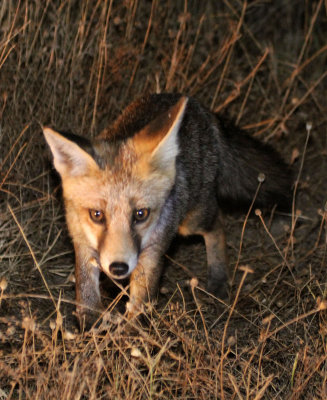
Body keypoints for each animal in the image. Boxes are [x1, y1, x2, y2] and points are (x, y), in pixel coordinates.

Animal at [43, 94, 292, 328]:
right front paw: (90, 326)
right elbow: (86, 292)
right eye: (97, 215)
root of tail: (199, 107)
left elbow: (140, 305)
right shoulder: (82, 243)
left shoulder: (152, 252)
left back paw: (218, 279)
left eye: (141, 214)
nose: (118, 267)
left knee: (217, 224)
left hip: (191, 221)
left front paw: (131, 336)